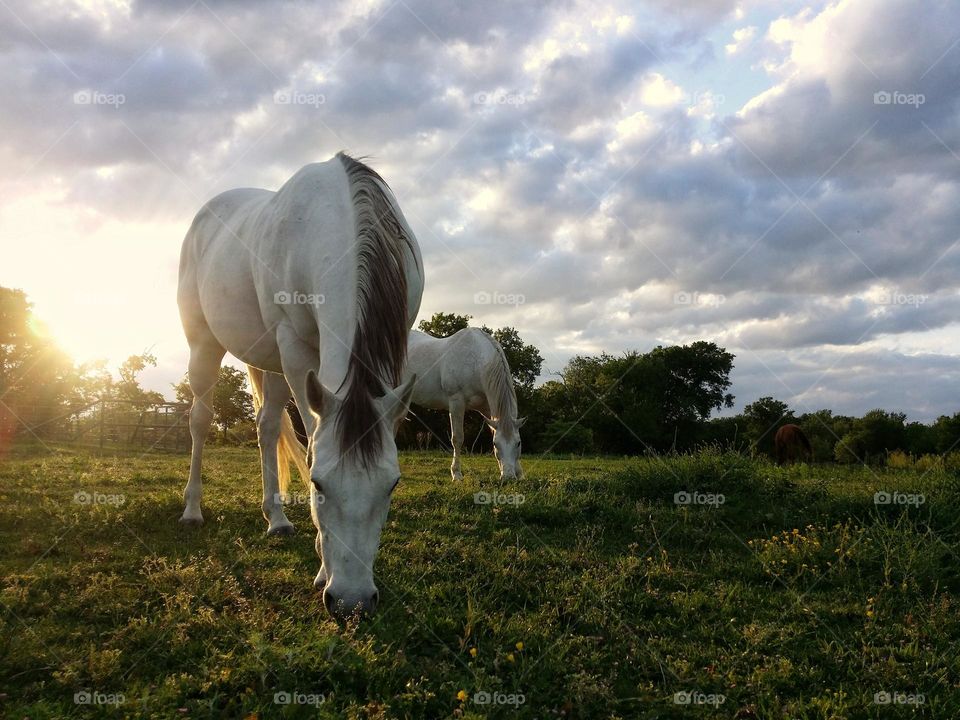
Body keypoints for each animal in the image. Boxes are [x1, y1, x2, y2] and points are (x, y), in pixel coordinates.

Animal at [178, 155, 422, 616]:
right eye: (318, 485)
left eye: (393, 485)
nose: (352, 602)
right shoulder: (293, 346)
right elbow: (311, 438)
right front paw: (324, 566)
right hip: (205, 345)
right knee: (199, 419)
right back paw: (192, 510)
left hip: (268, 360)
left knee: (267, 426)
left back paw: (276, 518)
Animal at [404, 330, 524, 480]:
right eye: (495, 444)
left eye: (518, 443)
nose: (508, 477)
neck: (474, 361)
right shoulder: (456, 403)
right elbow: (457, 438)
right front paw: (456, 474)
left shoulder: (488, 409)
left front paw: (519, 473)